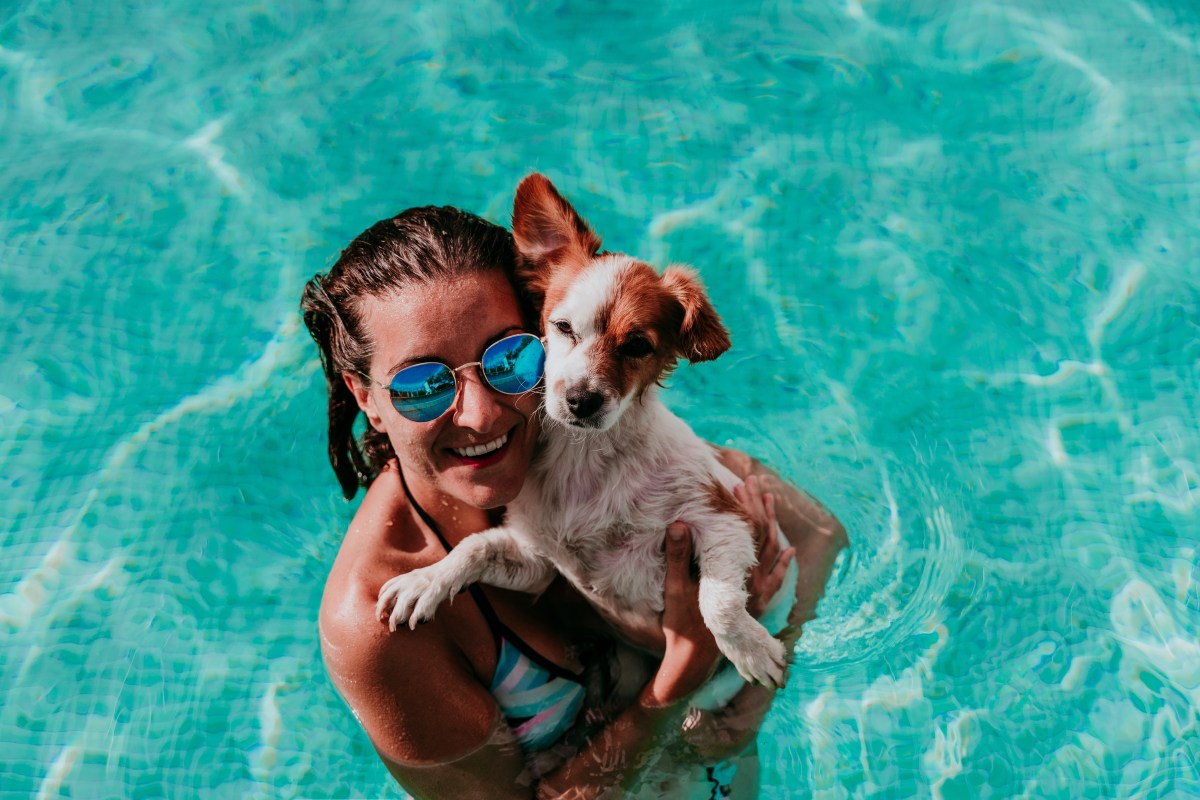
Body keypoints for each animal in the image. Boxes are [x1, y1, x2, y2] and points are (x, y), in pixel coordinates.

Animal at [374, 175, 787, 690]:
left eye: (638, 345)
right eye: (563, 327)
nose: (581, 400)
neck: (588, 461)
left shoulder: (724, 518)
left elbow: (719, 603)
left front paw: (751, 649)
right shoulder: (537, 561)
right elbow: (475, 546)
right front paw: (426, 579)